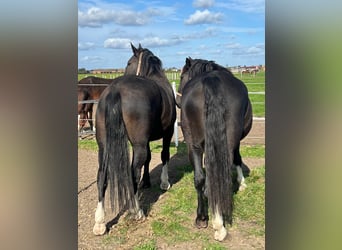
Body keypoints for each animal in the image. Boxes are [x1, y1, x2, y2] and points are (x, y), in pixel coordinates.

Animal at [92, 44, 176, 235]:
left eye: (129, 62)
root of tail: (115, 90)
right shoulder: (166, 133)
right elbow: (164, 156)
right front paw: (164, 182)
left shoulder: (146, 140)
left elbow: (150, 159)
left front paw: (147, 182)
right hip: (138, 145)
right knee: (132, 173)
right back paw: (137, 211)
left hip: (104, 146)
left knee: (102, 177)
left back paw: (100, 223)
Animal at [175, 57, 252, 241]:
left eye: (181, 76)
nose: (177, 102)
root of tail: (212, 80)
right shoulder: (236, 142)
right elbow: (238, 158)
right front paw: (242, 183)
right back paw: (219, 225)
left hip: (193, 144)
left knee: (200, 179)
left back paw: (202, 218)